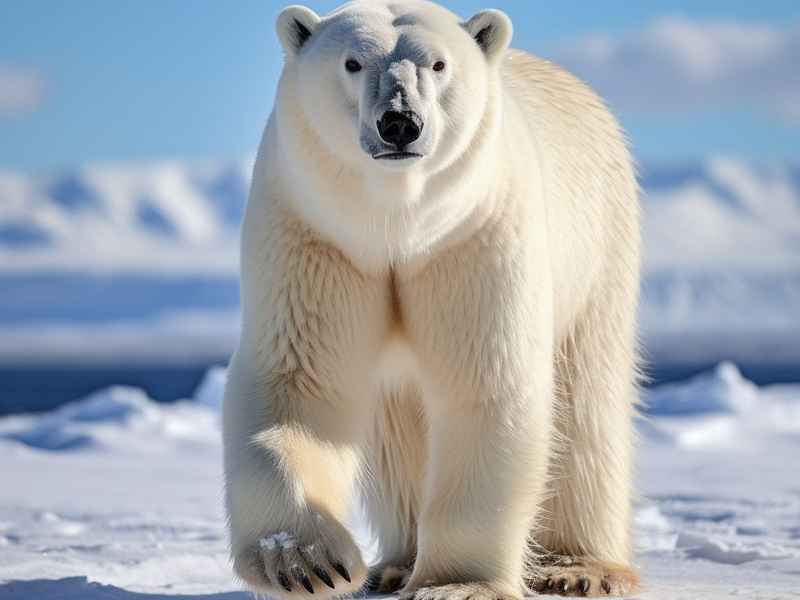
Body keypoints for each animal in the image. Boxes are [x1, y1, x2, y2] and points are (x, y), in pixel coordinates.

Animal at [222, 1, 641, 599]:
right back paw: (395, 562)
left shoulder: (472, 235)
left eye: (438, 64)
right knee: (398, 422)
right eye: (352, 62)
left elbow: (485, 382)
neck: (398, 224)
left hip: (601, 252)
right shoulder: (317, 233)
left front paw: (458, 583)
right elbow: (299, 383)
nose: (399, 122)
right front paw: (306, 562)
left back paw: (580, 567)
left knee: (587, 403)